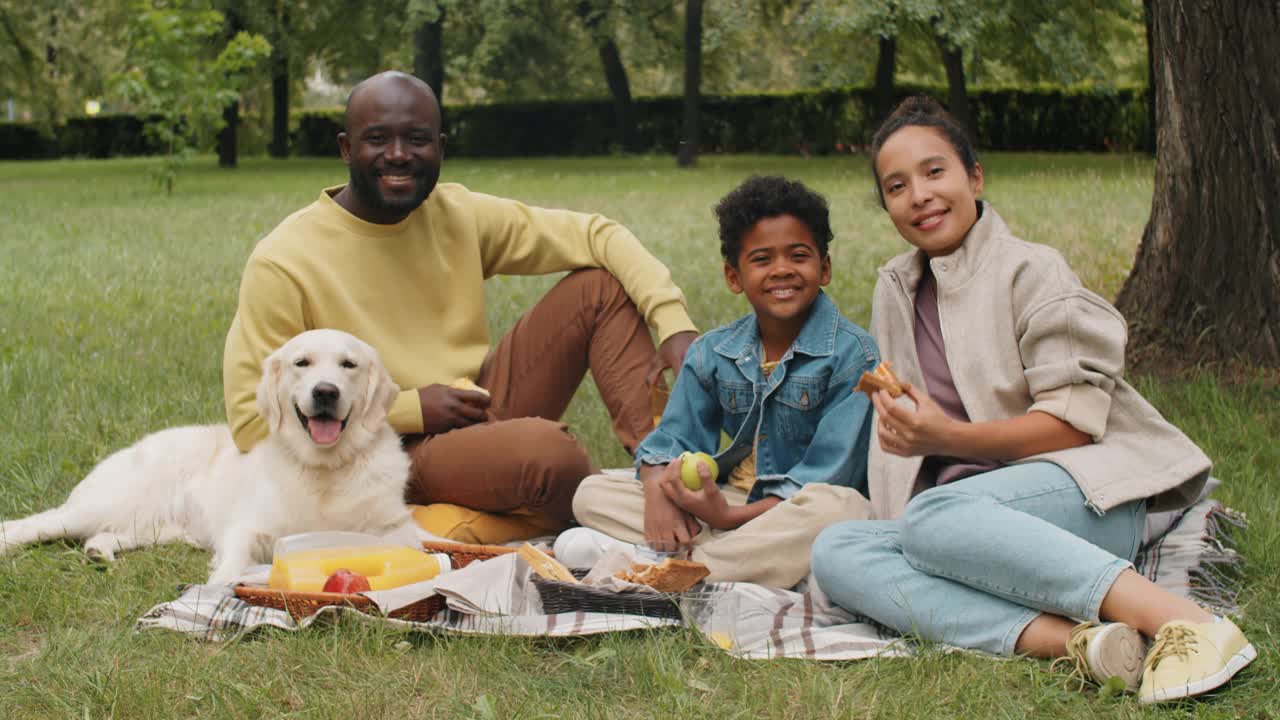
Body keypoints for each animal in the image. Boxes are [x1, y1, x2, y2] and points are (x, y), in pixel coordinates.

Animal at [0, 327, 419, 579]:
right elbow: (232, 564)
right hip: (102, 505)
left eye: (349, 364)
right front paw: (220, 591)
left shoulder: (395, 528)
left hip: (156, 527)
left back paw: (98, 553)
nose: (326, 392)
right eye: (302, 363)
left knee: (105, 536)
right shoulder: (247, 527)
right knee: (29, 524)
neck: (324, 470)